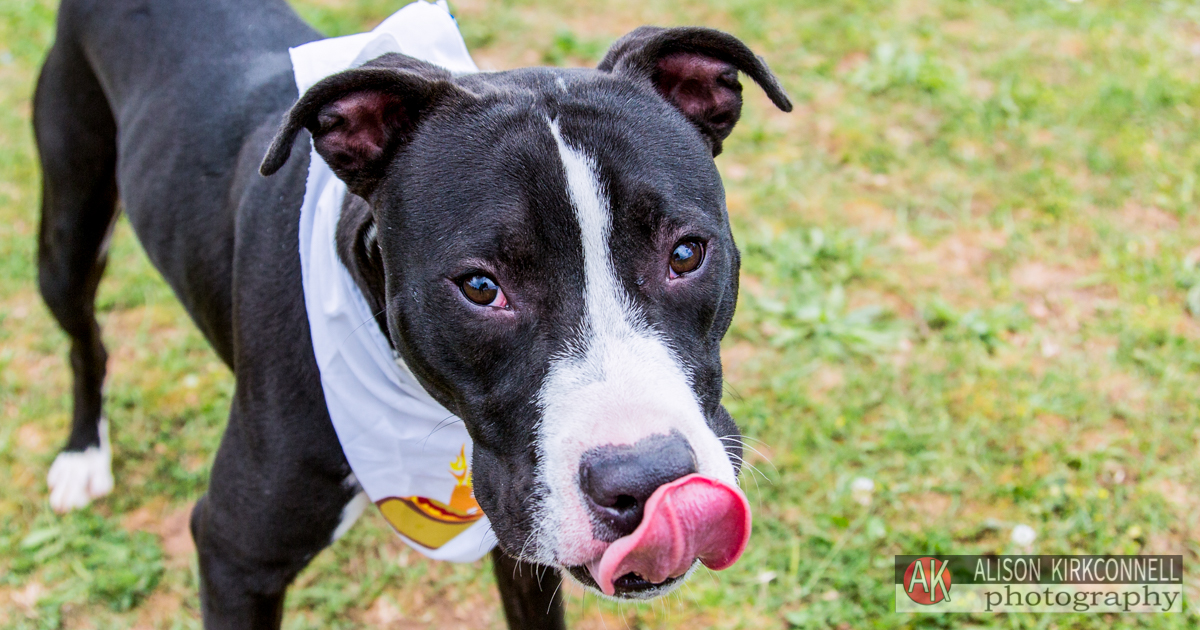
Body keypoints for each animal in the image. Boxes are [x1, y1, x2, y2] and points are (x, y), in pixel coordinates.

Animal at [30, 1, 787, 624]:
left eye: (686, 253)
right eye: (480, 287)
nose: (649, 481)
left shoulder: (521, 545)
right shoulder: (234, 555)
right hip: (67, 233)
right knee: (84, 339)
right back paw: (82, 454)